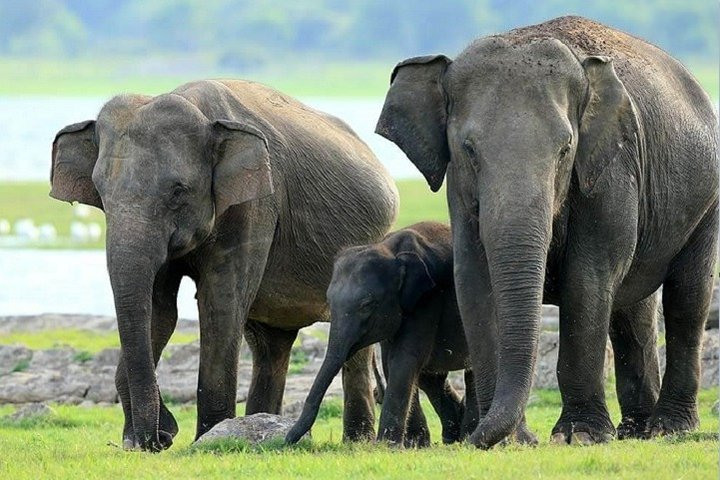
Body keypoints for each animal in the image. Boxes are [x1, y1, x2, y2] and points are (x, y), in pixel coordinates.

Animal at [50, 79, 400, 450]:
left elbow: (220, 303)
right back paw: (264, 423)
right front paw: (152, 437)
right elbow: (159, 311)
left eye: (178, 191)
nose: (159, 438)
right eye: (100, 192)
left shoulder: (255, 205)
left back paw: (356, 441)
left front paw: (205, 438)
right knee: (270, 344)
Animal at [290, 221, 536, 446]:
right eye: (329, 301)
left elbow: (404, 359)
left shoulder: (427, 300)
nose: (288, 439)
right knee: (431, 377)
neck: (389, 249)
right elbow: (393, 363)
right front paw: (414, 444)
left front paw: (387, 445)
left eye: (367, 305)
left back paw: (467, 434)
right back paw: (452, 436)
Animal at [380, 15, 716, 450]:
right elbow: (474, 281)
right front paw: (511, 441)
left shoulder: (609, 171)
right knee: (633, 309)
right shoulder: (460, 190)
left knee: (686, 298)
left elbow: (587, 280)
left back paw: (668, 428)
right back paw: (635, 430)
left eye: (565, 149)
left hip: (707, 201)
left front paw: (580, 436)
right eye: (469, 150)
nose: (466, 439)